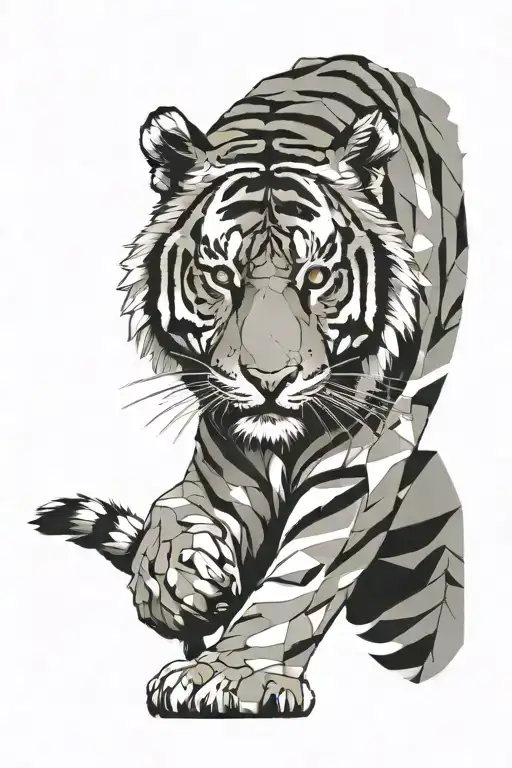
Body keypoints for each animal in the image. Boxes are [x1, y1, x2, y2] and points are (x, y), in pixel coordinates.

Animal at [32, 54, 467, 718]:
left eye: (316, 276)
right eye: (220, 276)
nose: (269, 381)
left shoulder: (359, 461)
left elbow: (301, 574)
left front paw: (233, 677)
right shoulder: (223, 439)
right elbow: (183, 506)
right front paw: (177, 581)